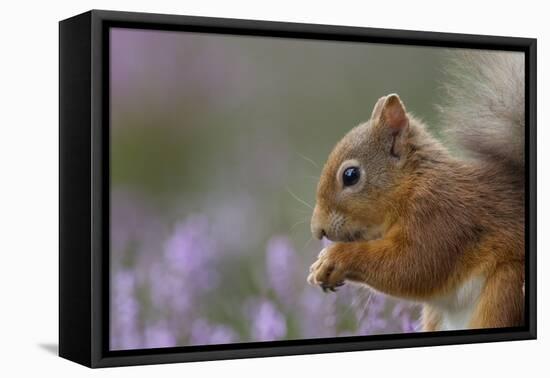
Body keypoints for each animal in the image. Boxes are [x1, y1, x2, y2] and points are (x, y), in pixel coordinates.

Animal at [308, 53, 528, 330]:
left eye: (350, 175)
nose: (317, 230)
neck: (411, 186)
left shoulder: (442, 216)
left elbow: (414, 266)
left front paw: (334, 258)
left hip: (505, 288)